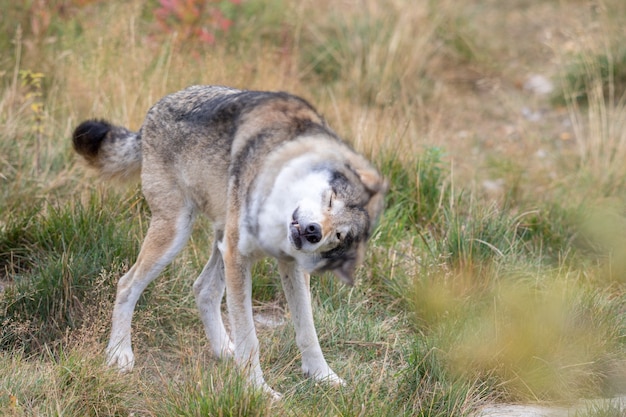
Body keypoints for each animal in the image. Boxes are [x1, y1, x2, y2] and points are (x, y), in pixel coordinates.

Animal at [72, 84, 386, 396]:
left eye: (339, 235)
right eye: (330, 199)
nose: (313, 231)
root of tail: (155, 109)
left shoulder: (290, 266)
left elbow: (308, 330)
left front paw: (323, 376)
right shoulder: (239, 255)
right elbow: (250, 338)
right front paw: (259, 391)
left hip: (219, 243)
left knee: (203, 289)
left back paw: (224, 351)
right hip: (177, 234)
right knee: (127, 285)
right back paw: (119, 354)